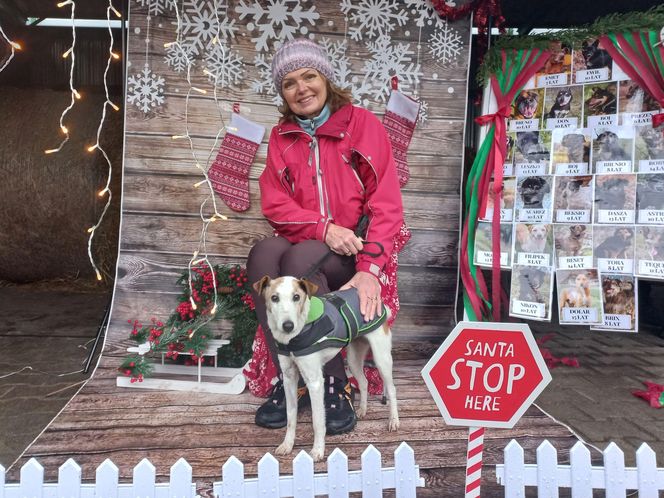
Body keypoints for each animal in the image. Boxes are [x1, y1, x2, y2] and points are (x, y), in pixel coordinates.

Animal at [254, 274, 400, 462]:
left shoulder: (315, 382)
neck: (294, 337)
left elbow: (317, 421)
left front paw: (317, 450)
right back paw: (362, 410)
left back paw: (394, 420)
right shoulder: (289, 378)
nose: (288, 326)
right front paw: (287, 445)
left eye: (296, 297)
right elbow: (291, 416)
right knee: (364, 382)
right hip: (353, 359)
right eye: (274, 298)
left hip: (382, 358)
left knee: (392, 389)